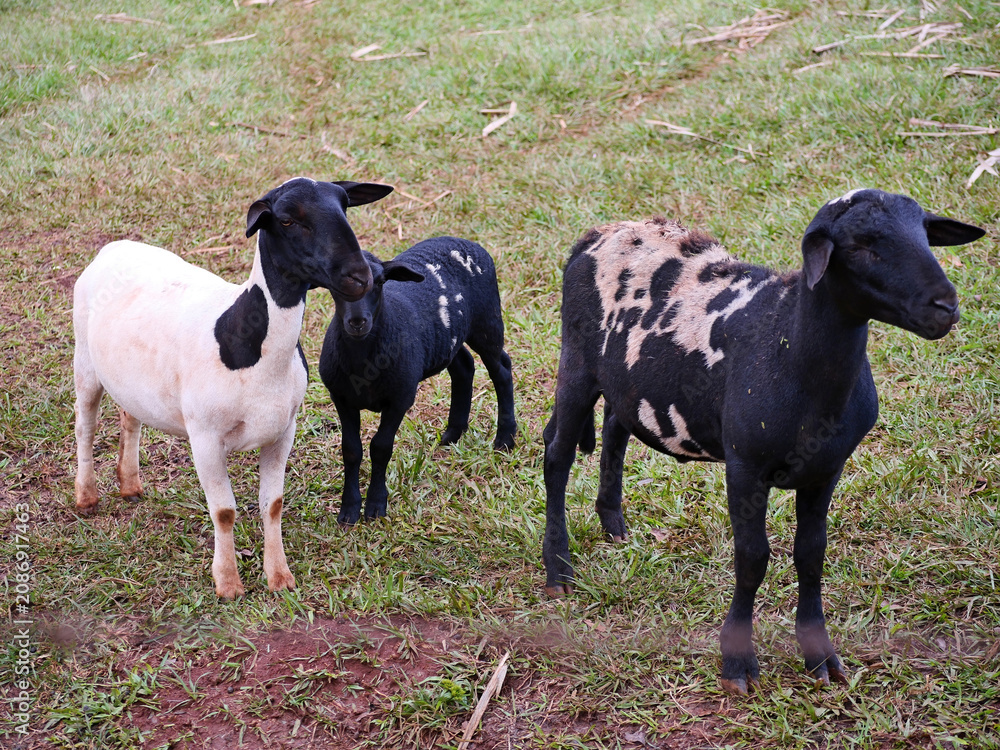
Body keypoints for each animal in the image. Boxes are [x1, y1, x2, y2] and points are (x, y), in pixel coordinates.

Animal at [73, 177, 393, 599]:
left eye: (345, 207)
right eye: (287, 220)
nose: (359, 277)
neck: (246, 340)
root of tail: (116, 246)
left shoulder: (283, 430)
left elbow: (273, 503)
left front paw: (280, 578)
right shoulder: (205, 437)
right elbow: (224, 511)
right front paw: (228, 584)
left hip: (132, 379)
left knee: (130, 415)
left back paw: (130, 485)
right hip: (83, 358)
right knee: (85, 426)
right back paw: (86, 496)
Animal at [319, 236, 517, 525]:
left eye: (380, 282)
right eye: (335, 285)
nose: (357, 322)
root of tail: (465, 241)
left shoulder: (400, 398)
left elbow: (380, 448)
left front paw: (376, 505)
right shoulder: (342, 398)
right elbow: (351, 450)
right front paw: (349, 509)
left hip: (487, 321)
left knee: (501, 370)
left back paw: (505, 438)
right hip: (448, 337)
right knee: (464, 366)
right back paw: (453, 433)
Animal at [540, 189, 985, 694]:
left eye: (926, 234)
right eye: (861, 246)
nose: (945, 306)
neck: (788, 344)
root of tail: (601, 233)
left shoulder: (825, 470)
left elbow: (811, 555)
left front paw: (820, 656)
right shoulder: (745, 466)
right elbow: (753, 559)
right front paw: (737, 663)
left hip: (628, 377)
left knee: (617, 426)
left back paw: (613, 523)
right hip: (577, 362)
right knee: (556, 457)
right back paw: (559, 569)